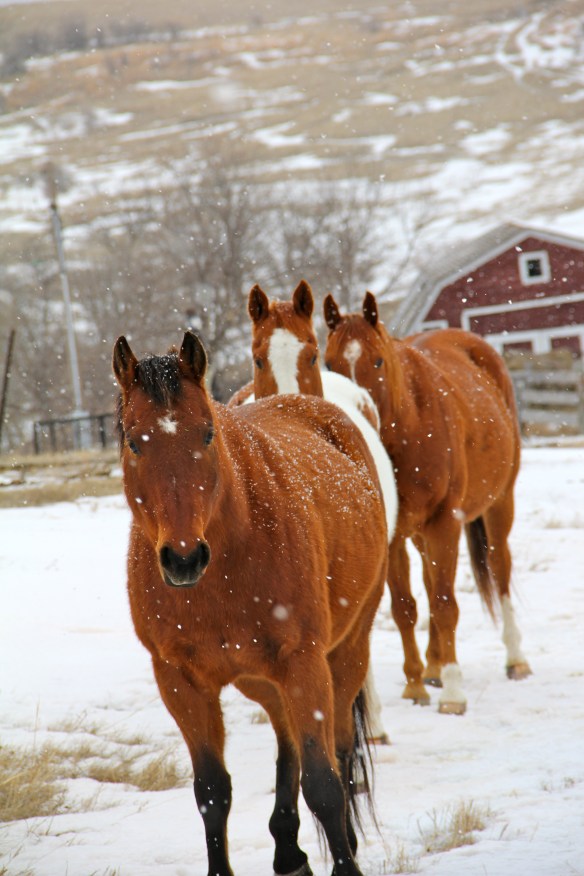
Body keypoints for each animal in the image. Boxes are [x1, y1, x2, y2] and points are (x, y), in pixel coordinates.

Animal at [113, 330, 389, 876]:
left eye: (206, 435)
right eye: (134, 441)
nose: (183, 558)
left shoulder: (304, 663)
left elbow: (324, 785)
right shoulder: (179, 682)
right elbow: (212, 793)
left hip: (344, 653)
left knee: (340, 751)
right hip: (259, 677)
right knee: (286, 739)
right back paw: (287, 849)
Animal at [322, 291, 531, 715]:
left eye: (377, 361)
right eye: (329, 363)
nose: (355, 411)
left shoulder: (444, 522)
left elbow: (445, 602)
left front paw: (452, 693)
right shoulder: (393, 536)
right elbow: (406, 607)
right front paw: (415, 684)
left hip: (499, 504)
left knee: (499, 569)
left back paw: (514, 659)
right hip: (422, 534)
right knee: (431, 582)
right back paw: (433, 667)